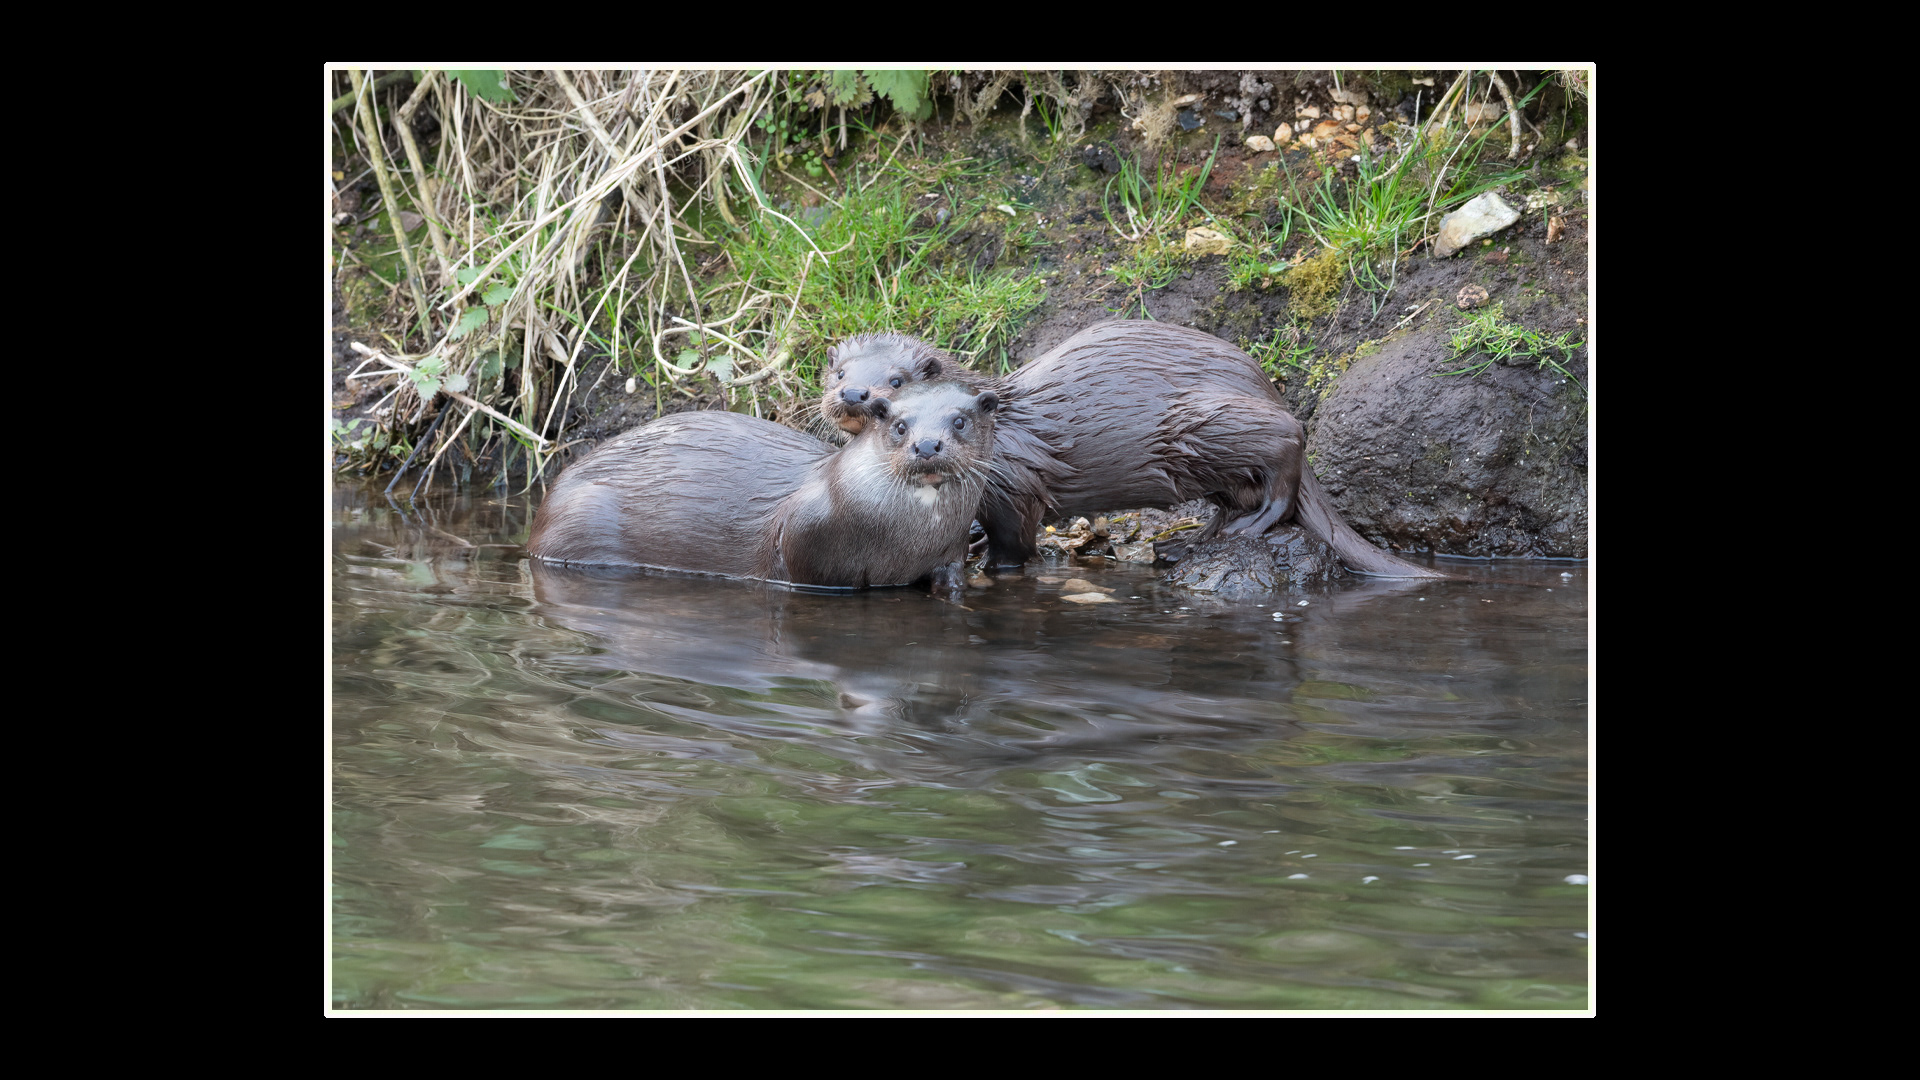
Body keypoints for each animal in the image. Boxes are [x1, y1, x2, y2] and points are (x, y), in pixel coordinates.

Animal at [529, 382, 1000, 593]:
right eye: (901, 426)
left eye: (960, 421)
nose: (927, 445)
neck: (906, 535)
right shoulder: (806, 547)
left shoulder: (949, 551)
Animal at [819, 321, 1443, 578]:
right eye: (839, 372)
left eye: (895, 380)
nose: (853, 394)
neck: (1002, 427)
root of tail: (1260, 380)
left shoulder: (1013, 484)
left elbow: (1015, 544)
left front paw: (991, 565)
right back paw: (1191, 541)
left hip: (1204, 421)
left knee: (1288, 439)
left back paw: (1253, 524)